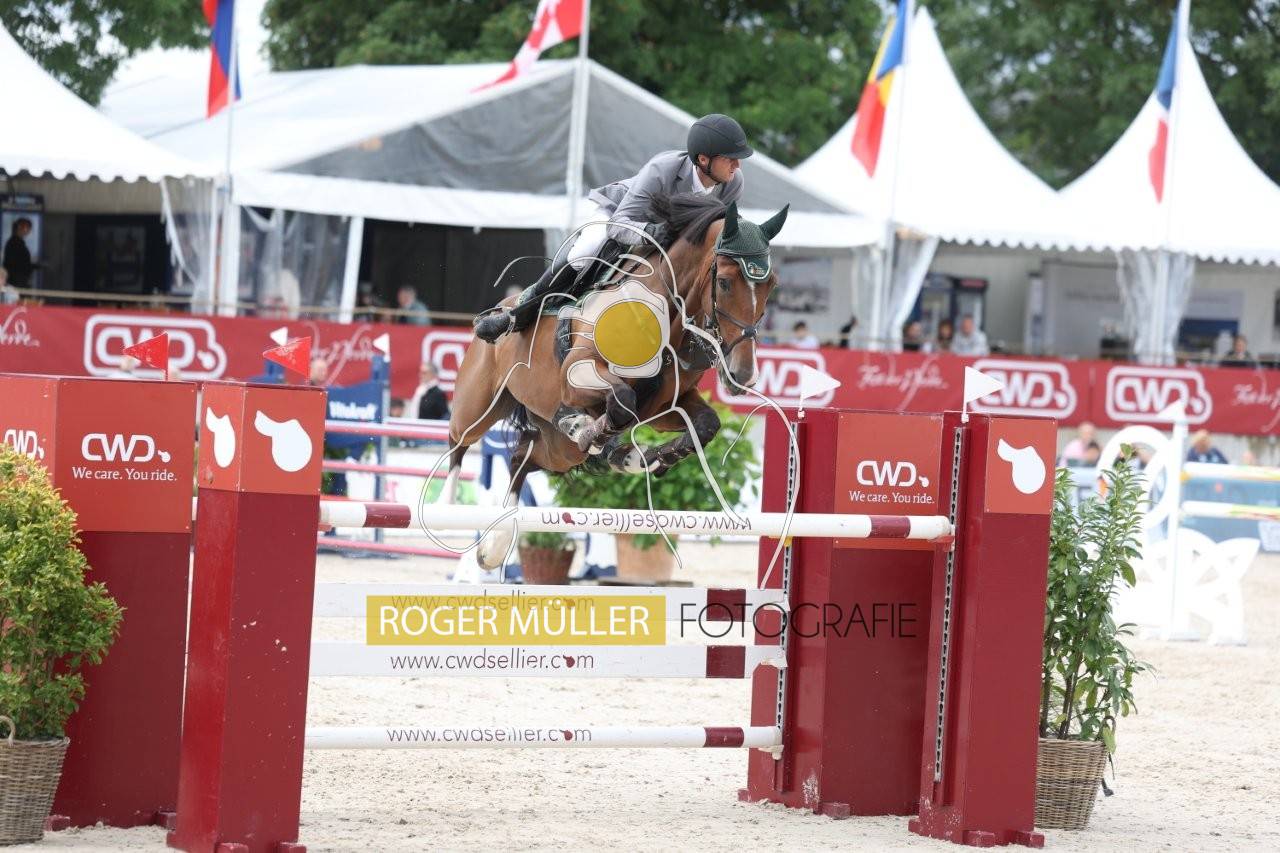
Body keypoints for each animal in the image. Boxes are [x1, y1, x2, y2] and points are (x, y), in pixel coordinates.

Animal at [440, 194, 789, 568]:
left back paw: (498, 542)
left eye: (771, 285)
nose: (742, 374)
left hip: (559, 450)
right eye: (723, 282)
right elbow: (621, 400)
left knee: (522, 457)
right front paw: (589, 429)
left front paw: (658, 456)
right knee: (459, 439)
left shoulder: (664, 405)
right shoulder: (578, 373)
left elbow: (704, 423)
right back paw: (447, 505)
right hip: (480, 402)